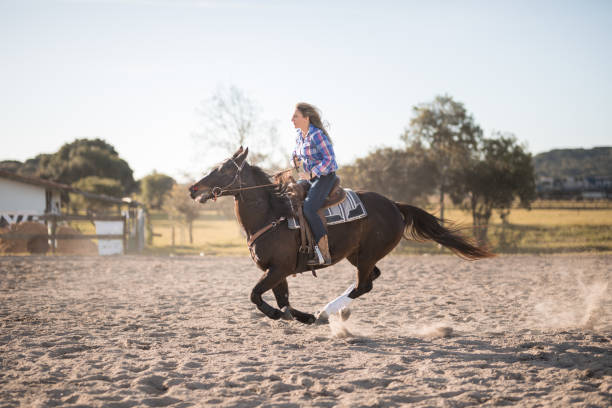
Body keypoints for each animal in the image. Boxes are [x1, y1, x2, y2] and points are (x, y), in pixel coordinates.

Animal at [190, 147, 492, 326]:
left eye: (225, 169)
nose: (193, 188)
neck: (271, 215)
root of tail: (395, 205)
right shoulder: (275, 271)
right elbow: (283, 301)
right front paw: (302, 316)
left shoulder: (278, 269)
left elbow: (256, 296)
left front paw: (289, 315)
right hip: (357, 255)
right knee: (370, 279)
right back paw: (333, 312)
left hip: (368, 254)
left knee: (363, 285)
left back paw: (327, 311)